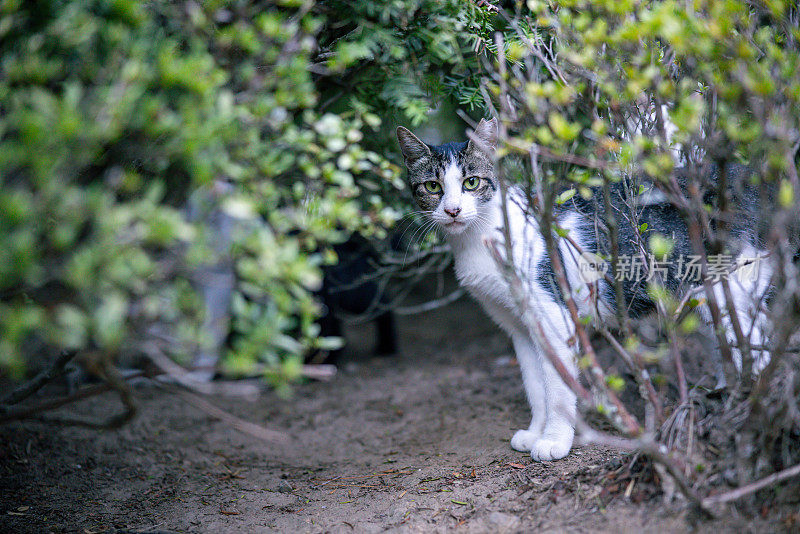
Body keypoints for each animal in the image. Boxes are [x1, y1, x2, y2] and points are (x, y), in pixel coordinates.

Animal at [396, 119, 772, 462]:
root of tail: (748, 175)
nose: (453, 210)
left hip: (732, 288)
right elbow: (535, 385)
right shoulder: (519, 328)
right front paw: (534, 433)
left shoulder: (554, 316)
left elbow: (559, 390)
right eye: (432, 186)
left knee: (759, 350)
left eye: (471, 182)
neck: (481, 238)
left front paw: (554, 441)